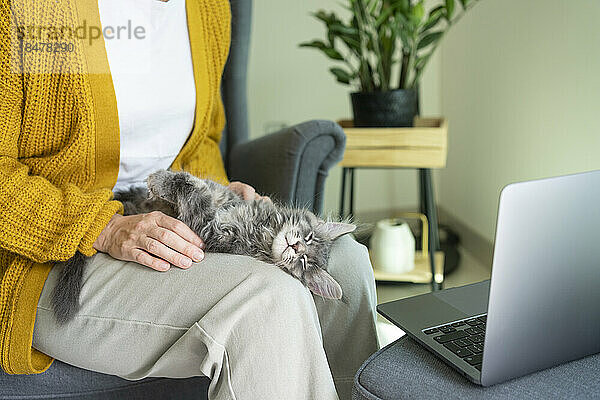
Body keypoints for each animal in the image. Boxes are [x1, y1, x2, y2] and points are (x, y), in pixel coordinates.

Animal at [51, 170, 356, 324]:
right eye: (308, 238)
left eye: (305, 262)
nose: (295, 246)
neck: (261, 227)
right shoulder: (221, 196)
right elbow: (197, 182)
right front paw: (161, 181)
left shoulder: (208, 228)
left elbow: (192, 190)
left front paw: (161, 181)